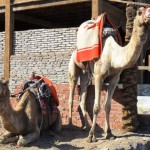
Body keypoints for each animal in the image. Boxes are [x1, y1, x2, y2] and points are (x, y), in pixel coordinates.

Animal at [68, 6, 150, 142]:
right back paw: (70, 125)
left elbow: (108, 106)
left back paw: (85, 126)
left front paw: (109, 133)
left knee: (83, 94)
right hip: (73, 65)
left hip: (86, 74)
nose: (148, 16)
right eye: (139, 12)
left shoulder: (114, 78)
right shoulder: (98, 76)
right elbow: (96, 106)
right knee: (72, 87)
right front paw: (91, 136)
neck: (113, 55)